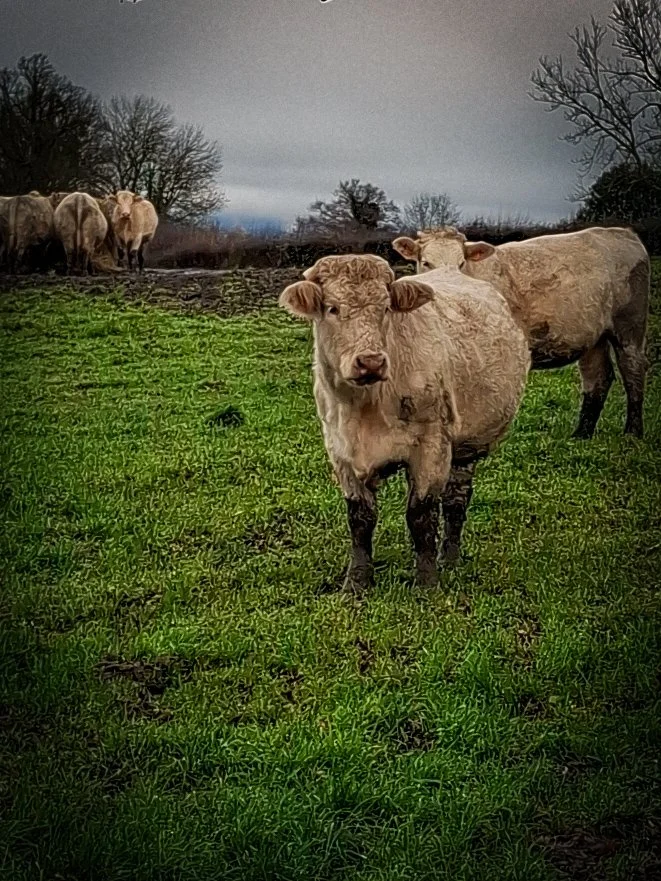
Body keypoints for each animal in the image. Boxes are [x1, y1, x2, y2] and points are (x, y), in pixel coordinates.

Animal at [279, 254, 530, 591]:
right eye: (332, 308)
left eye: (385, 308)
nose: (371, 361)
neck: (366, 407)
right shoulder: (340, 452)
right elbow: (360, 518)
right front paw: (356, 583)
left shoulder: (431, 447)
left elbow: (421, 515)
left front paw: (426, 583)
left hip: (466, 447)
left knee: (456, 501)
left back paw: (449, 560)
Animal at [393, 226, 650, 439]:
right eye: (426, 262)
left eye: (461, 263)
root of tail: (623, 233)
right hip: (594, 337)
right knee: (598, 379)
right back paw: (581, 435)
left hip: (630, 327)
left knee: (633, 371)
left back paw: (632, 433)